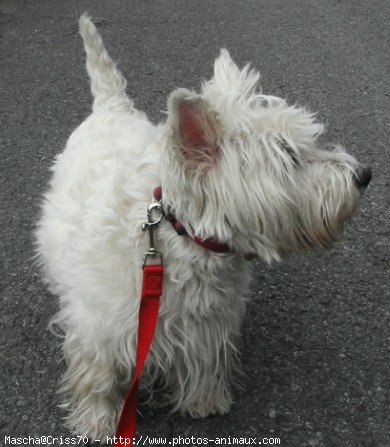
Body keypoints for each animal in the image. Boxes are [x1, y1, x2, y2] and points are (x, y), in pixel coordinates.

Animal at [35, 14, 372, 440]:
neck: (181, 236)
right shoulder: (99, 326)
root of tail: (111, 106)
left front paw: (204, 402)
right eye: (291, 157)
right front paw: (97, 422)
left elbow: (204, 361)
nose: (364, 175)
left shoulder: (207, 323)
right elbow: (97, 376)